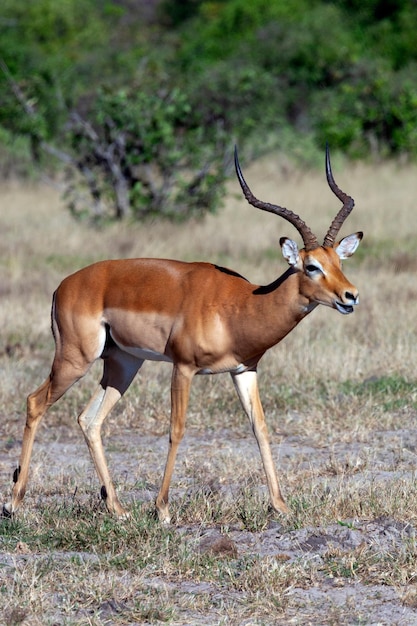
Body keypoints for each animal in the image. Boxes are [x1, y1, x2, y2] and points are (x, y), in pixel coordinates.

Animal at [3, 145, 360, 516]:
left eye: (339, 262)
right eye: (311, 266)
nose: (351, 296)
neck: (240, 306)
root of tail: (63, 286)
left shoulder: (245, 370)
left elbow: (260, 427)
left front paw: (280, 505)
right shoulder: (183, 368)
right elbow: (177, 428)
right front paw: (162, 509)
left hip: (123, 364)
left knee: (90, 420)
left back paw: (117, 508)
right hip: (75, 359)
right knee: (35, 402)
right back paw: (14, 503)